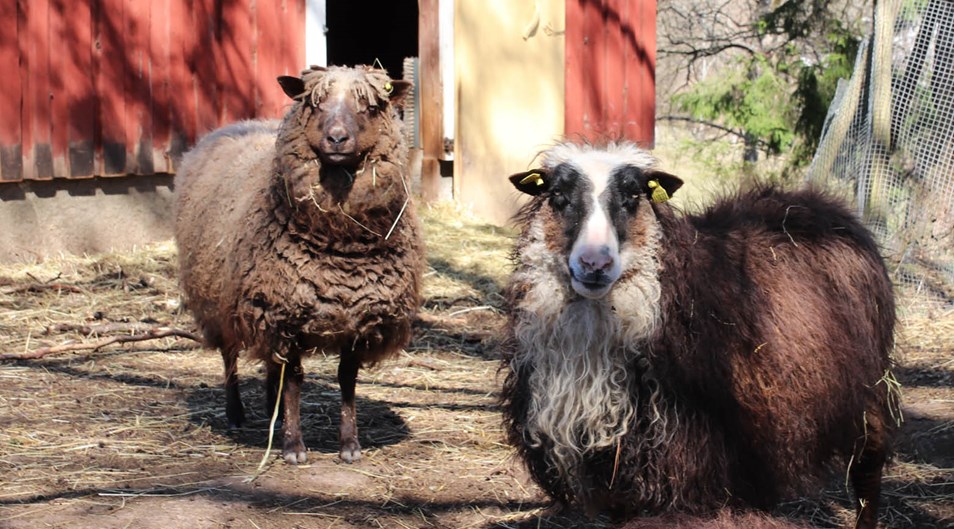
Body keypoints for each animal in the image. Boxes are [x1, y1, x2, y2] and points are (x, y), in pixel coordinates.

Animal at [175, 65, 420, 462]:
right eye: (315, 104)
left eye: (368, 106)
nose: (336, 139)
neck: (341, 248)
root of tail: (237, 124)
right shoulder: (285, 315)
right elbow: (294, 381)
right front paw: (293, 446)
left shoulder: (359, 319)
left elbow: (346, 379)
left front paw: (349, 444)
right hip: (221, 302)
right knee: (230, 356)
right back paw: (235, 413)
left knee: (270, 365)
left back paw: (266, 406)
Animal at [502, 140, 896, 528]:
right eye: (558, 196)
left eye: (633, 197)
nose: (594, 264)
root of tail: (825, 203)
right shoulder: (622, 476)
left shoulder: (697, 473)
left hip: (869, 390)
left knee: (868, 472)